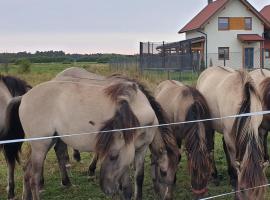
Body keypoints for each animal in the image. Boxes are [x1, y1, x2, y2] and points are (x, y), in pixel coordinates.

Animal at [3, 72, 179, 200]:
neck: (140, 109)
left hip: (46, 143)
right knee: (33, 176)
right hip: (41, 146)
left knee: (27, 171)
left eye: (174, 174)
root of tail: (23, 97)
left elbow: (139, 177)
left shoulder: (140, 150)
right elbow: (126, 186)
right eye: (163, 172)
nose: (167, 197)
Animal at [196, 66, 268, 199]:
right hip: (210, 125)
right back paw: (214, 175)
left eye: (261, 191)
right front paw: (234, 181)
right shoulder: (230, 136)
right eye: (243, 189)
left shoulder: (257, 130)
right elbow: (235, 163)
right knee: (210, 147)